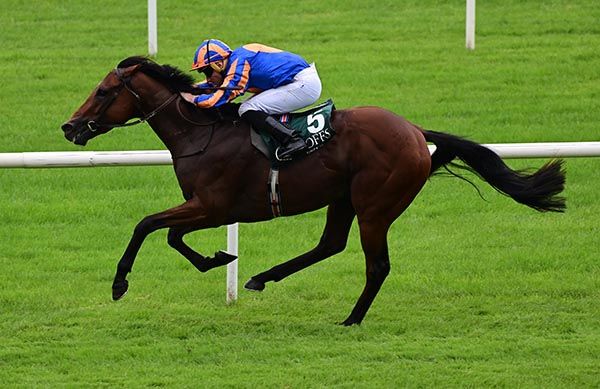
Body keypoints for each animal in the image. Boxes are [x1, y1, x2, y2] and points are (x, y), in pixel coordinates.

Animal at [58, 56, 564, 324]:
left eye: (103, 91)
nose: (69, 126)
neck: (199, 133)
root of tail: (415, 133)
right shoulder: (208, 208)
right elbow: (170, 235)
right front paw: (219, 258)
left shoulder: (212, 205)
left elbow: (149, 226)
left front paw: (120, 284)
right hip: (343, 198)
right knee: (330, 244)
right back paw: (262, 277)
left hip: (376, 204)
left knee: (376, 265)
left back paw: (352, 318)